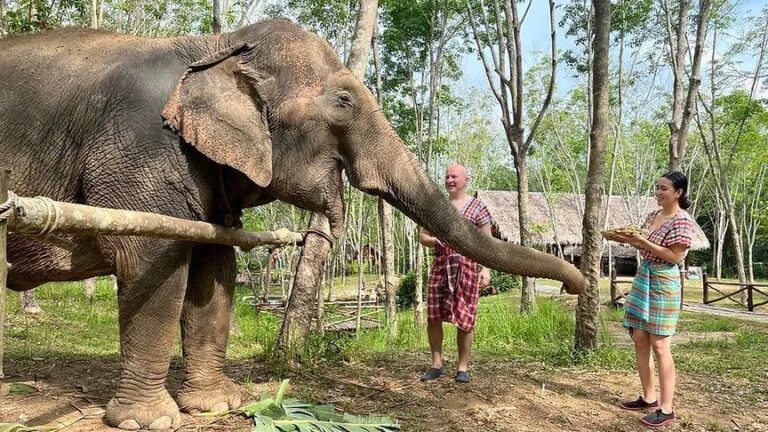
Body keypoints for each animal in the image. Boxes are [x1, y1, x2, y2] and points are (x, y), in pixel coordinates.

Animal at [0, 19, 588, 430]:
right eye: (344, 101)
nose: (580, 284)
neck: (213, 45)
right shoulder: (139, 148)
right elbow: (153, 259)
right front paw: (152, 420)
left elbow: (216, 266)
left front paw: (218, 404)